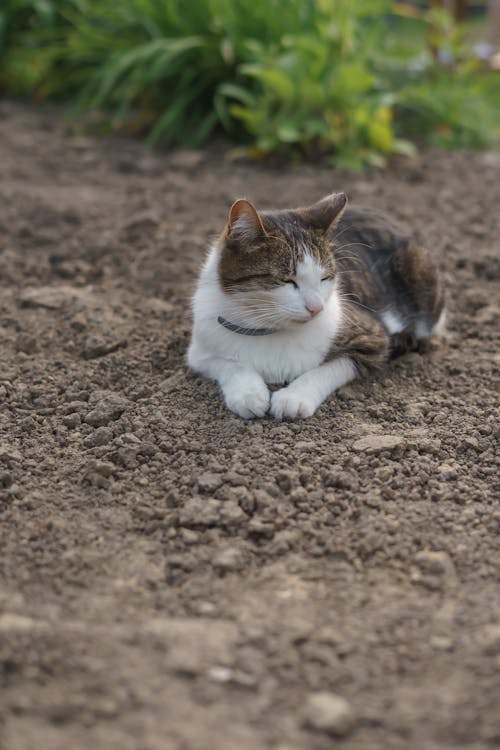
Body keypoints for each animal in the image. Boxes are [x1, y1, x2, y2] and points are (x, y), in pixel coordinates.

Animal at [188, 191, 446, 420]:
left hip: (419, 267)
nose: (317, 308)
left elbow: (328, 368)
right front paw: (248, 394)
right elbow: (230, 364)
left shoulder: (374, 338)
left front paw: (294, 398)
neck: (270, 330)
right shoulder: (199, 350)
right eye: (288, 281)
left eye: (325, 278)